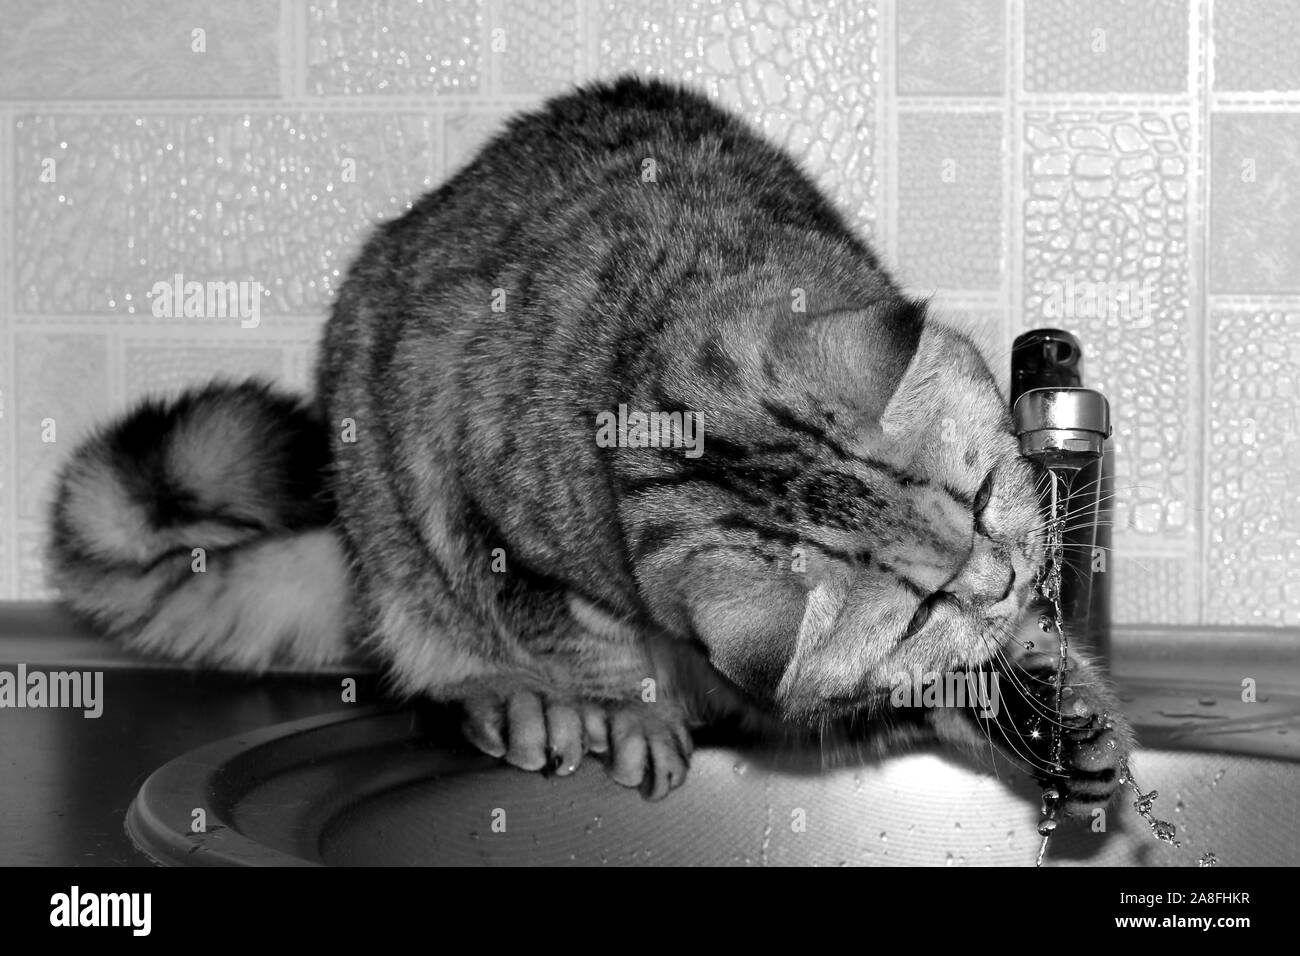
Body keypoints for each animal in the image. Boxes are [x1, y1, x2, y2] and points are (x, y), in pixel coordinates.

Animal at [45, 76, 1133, 806]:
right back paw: (514, 698)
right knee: (438, 636)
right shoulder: (482, 502)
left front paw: (1054, 709)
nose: (1005, 579)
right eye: (918, 609)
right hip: (390, 525)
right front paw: (627, 709)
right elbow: (578, 631)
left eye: (983, 495)